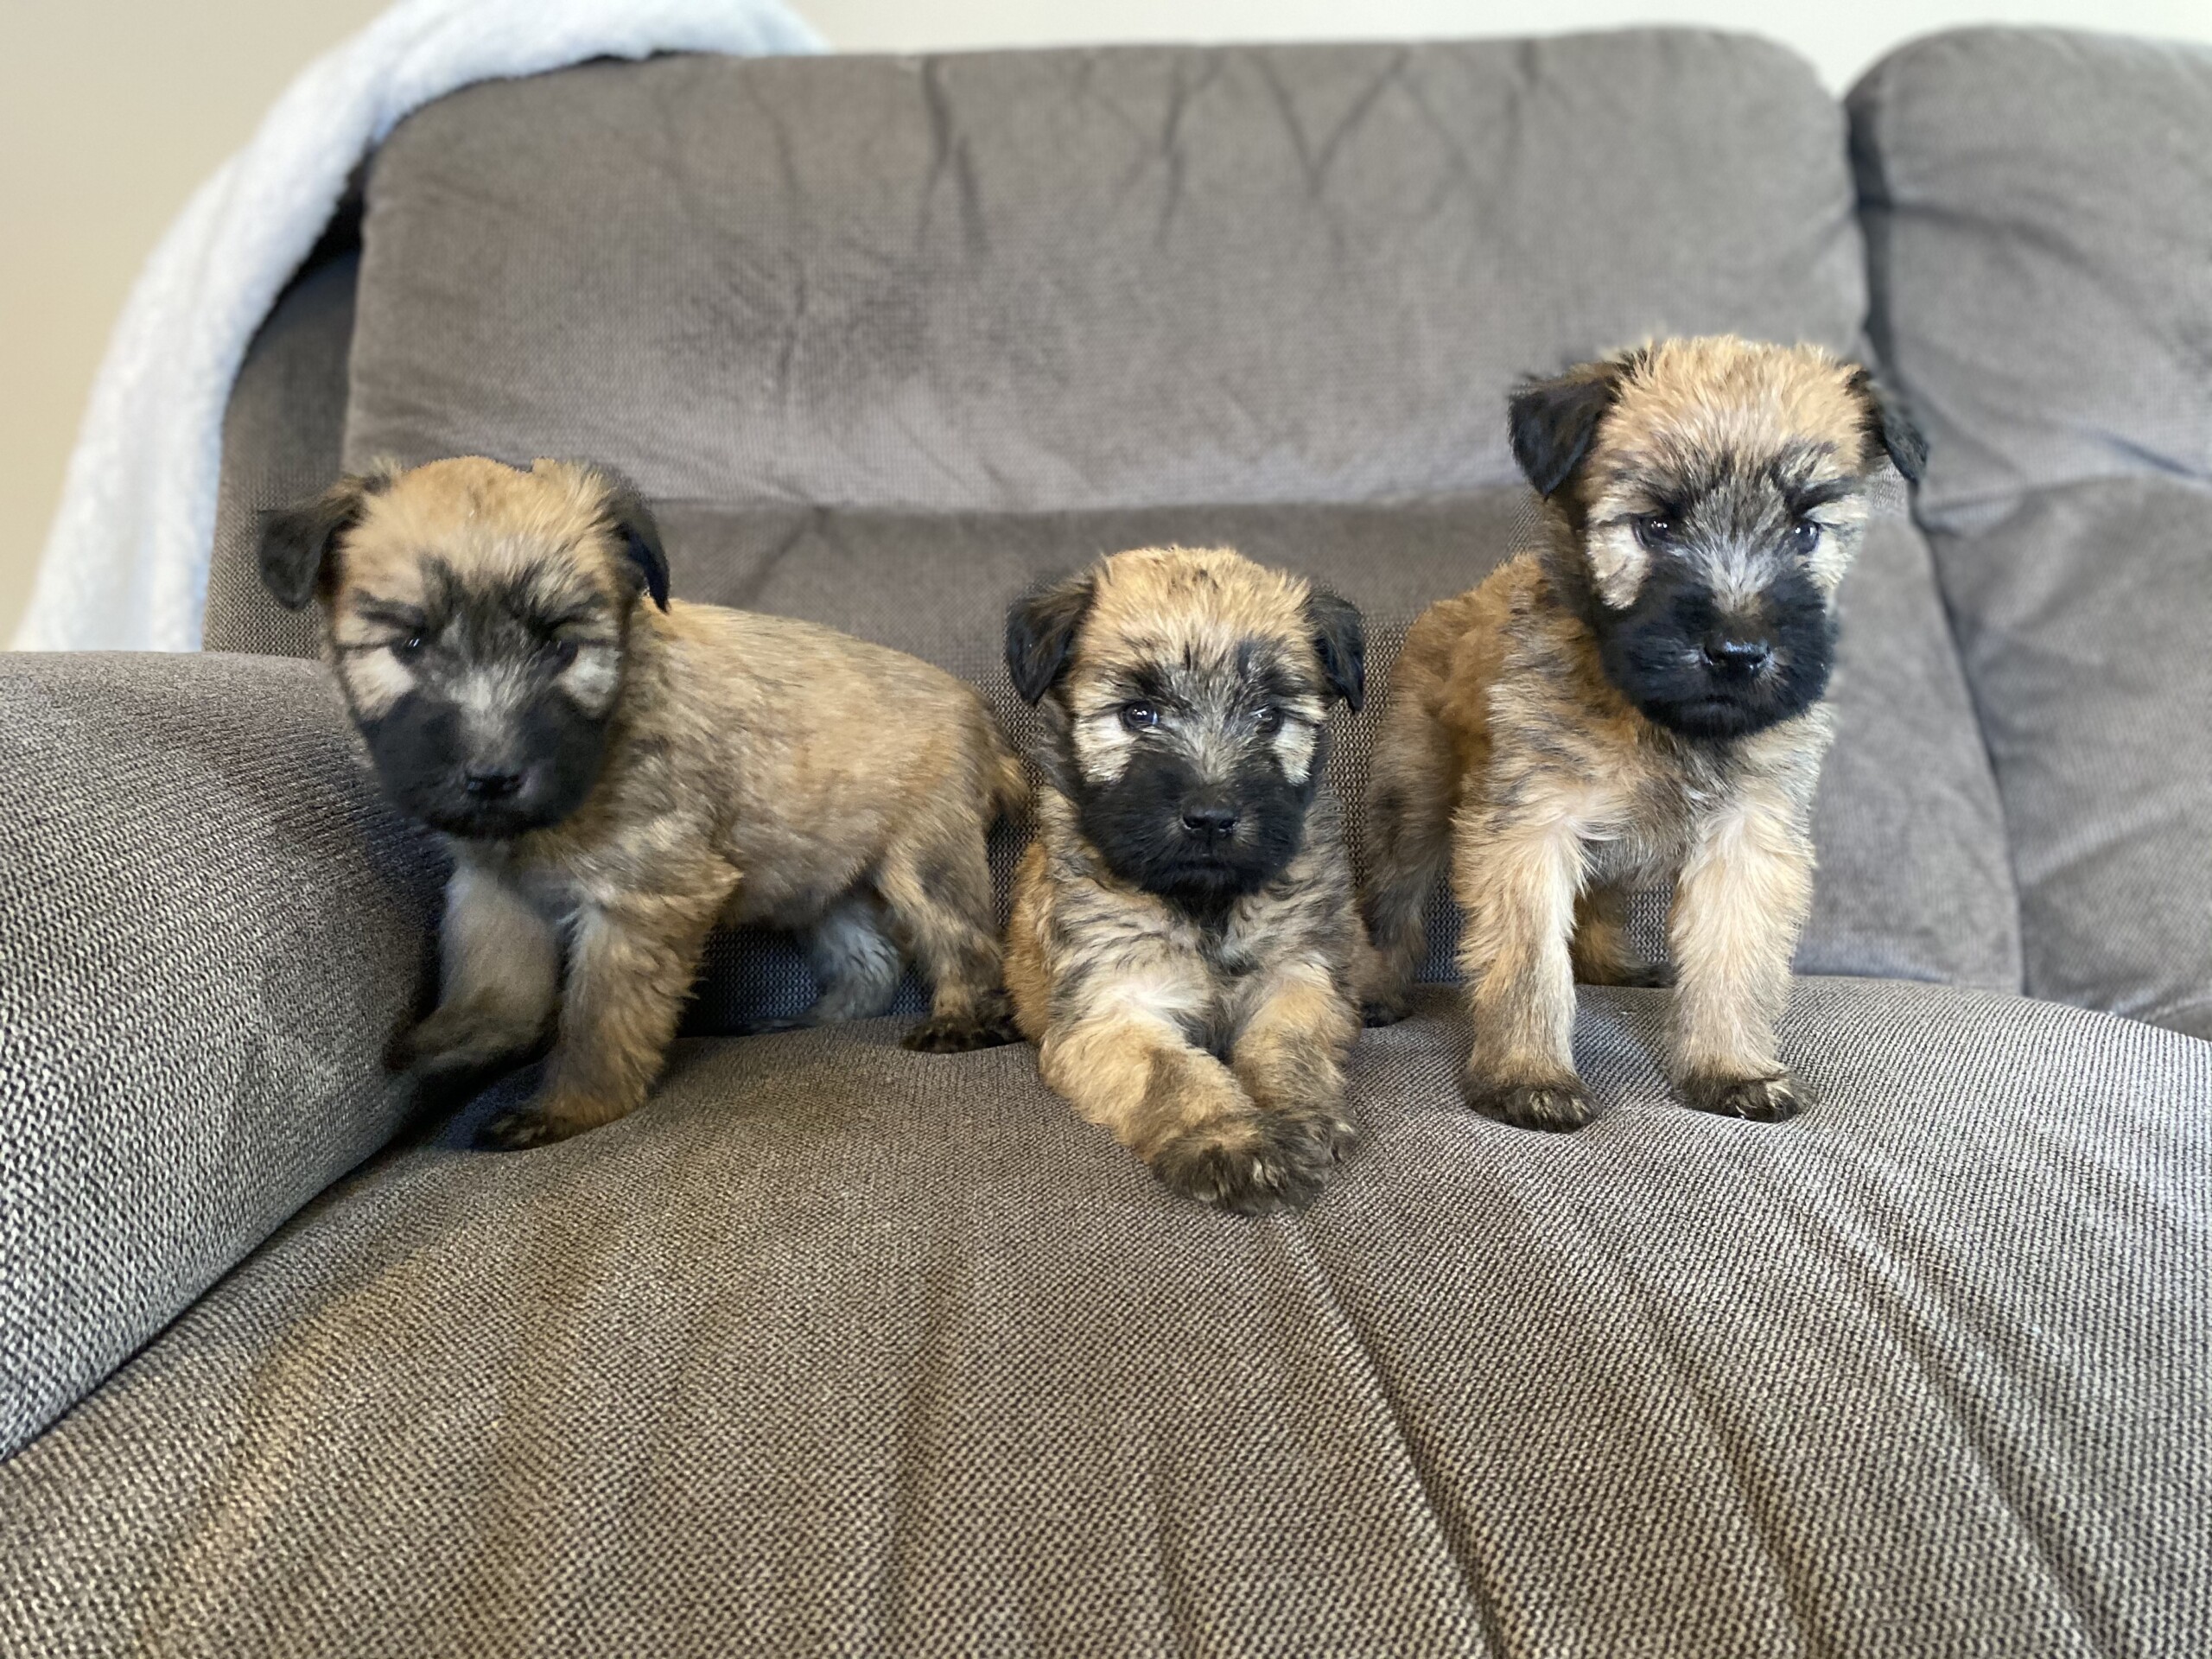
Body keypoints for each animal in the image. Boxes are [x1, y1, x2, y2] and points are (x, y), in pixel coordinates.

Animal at [261, 457, 1026, 1159]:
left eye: (560, 644)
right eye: (411, 643)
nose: (493, 776)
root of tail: (981, 717)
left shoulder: (644, 900)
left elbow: (599, 1019)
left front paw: (571, 1108)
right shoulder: (496, 887)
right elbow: (498, 986)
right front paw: (455, 1039)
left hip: (925, 863)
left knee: (965, 946)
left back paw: (959, 1021)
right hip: (821, 879)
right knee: (869, 961)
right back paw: (810, 1019)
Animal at [1008, 553, 1371, 1211]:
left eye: (1268, 715)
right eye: (1138, 714)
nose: (1211, 817)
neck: (1206, 904)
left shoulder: (1296, 978)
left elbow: (1289, 1047)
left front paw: (1300, 1117)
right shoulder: (1113, 1008)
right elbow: (1174, 1074)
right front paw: (1233, 1141)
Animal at [1353, 345, 1929, 1141]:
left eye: (1805, 531)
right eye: (1655, 526)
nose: (1738, 652)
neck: (1659, 716)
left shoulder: (1746, 841)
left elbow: (1733, 960)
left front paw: (1729, 1069)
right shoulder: (1528, 830)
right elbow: (1530, 967)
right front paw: (1527, 1077)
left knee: (1599, 902)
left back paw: (1614, 968)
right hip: (1411, 796)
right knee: (1392, 902)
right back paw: (1376, 988)